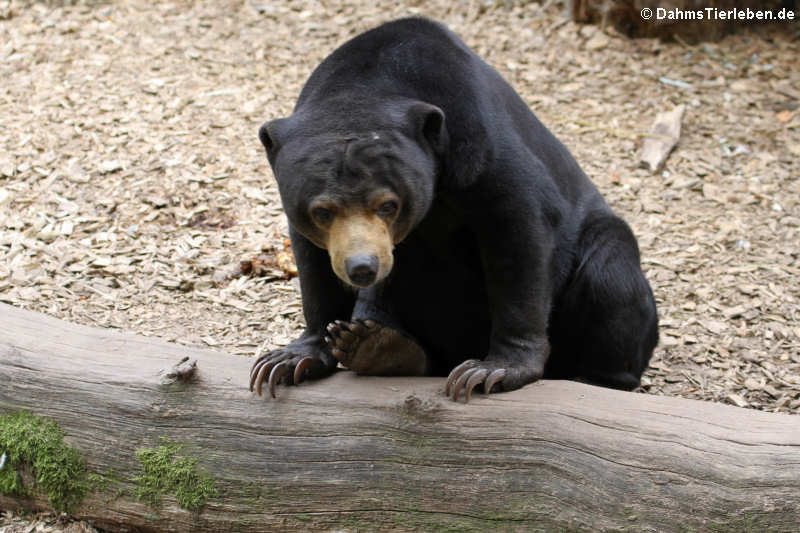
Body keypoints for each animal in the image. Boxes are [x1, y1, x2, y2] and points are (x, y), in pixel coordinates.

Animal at [248, 16, 656, 402]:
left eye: (388, 205)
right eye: (323, 212)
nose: (362, 268)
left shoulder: (479, 141)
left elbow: (520, 230)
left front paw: (493, 371)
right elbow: (313, 266)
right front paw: (288, 360)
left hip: (600, 246)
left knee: (610, 277)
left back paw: (594, 378)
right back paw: (377, 346)